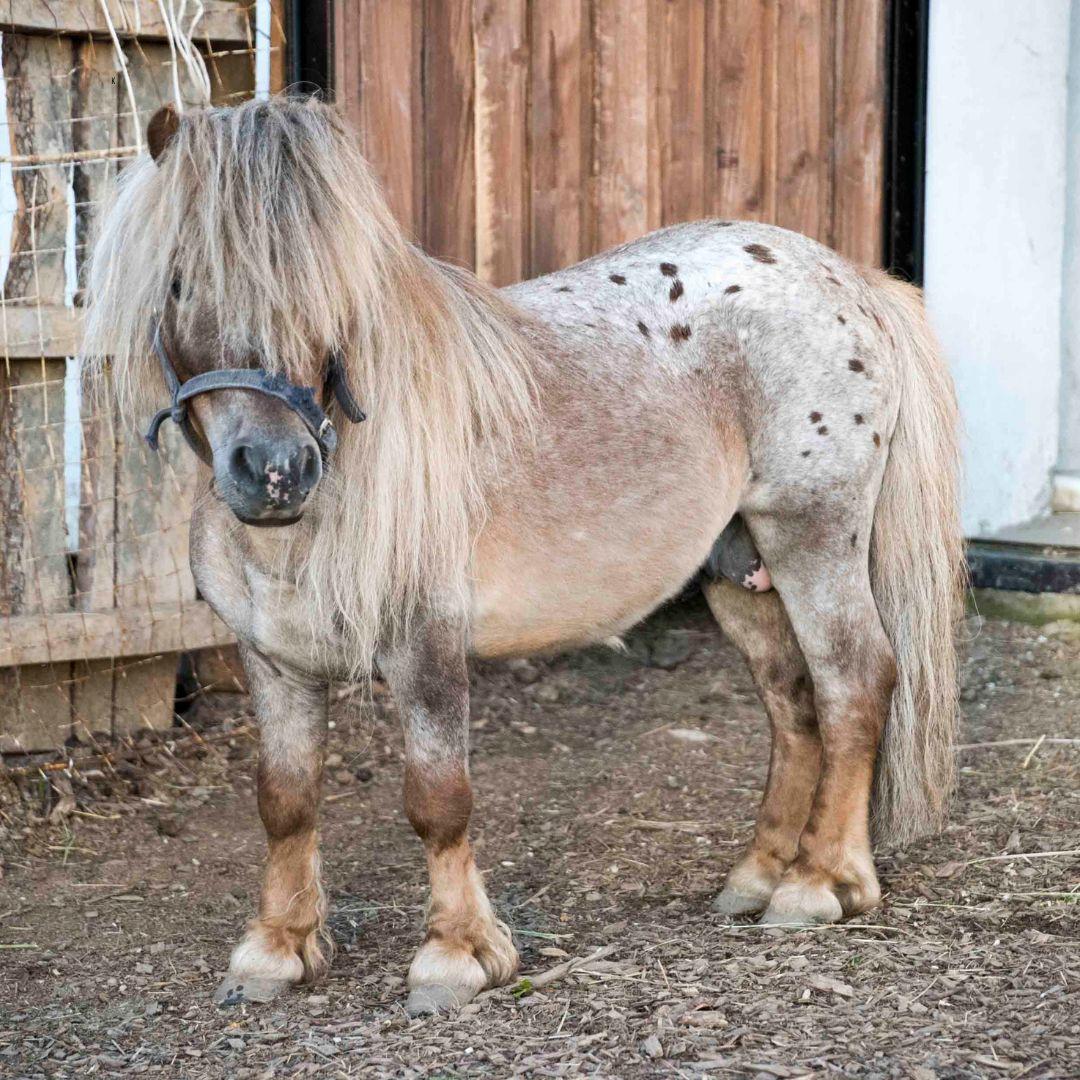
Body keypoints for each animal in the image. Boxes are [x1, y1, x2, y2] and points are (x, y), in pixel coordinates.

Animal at [84, 97, 963, 1016]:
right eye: (180, 281)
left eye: (331, 293)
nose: (275, 471)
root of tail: (849, 279)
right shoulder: (274, 661)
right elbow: (285, 800)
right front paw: (277, 949)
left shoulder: (426, 648)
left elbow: (438, 799)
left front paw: (457, 956)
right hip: (740, 570)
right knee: (794, 704)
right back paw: (768, 875)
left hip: (811, 538)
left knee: (855, 683)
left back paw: (818, 884)